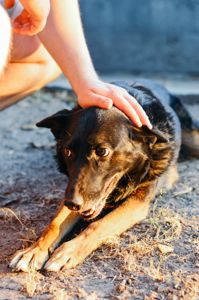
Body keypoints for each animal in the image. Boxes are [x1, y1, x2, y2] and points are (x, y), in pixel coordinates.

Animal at [9, 79, 199, 272]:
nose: (73, 203)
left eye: (102, 151)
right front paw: (33, 250)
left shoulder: (138, 201)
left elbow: (98, 224)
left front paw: (69, 251)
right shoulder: (72, 192)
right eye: (68, 151)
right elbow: (54, 223)